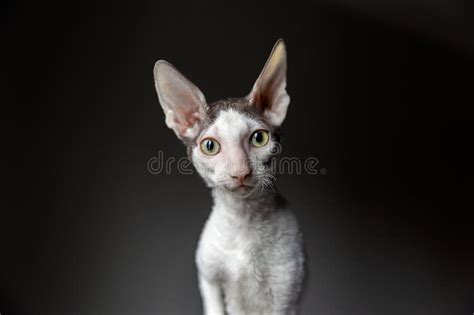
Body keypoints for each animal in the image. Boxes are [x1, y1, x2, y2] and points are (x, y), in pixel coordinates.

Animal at [154, 39, 306, 315]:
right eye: (210, 146)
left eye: (259, 138)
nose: (240, 171)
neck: (243, 217)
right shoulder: (209, 279)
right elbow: (214, 305)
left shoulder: (286, 293)